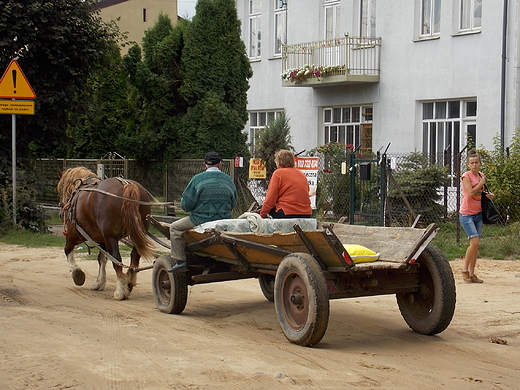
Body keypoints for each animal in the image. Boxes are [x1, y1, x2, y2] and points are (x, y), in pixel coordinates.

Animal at [57, 166, 154, 300]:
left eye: (60, 189)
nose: (61, 213)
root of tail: (126, 184)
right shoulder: (102, 238)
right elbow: (102, 258)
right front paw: (99, 282)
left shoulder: (74, 234)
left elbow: (67, 250)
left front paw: (77, 273)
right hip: (138, 233)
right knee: (134, 255)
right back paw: (129, 282)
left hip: (110, 237)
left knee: (117, 260)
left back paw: (120, 291)